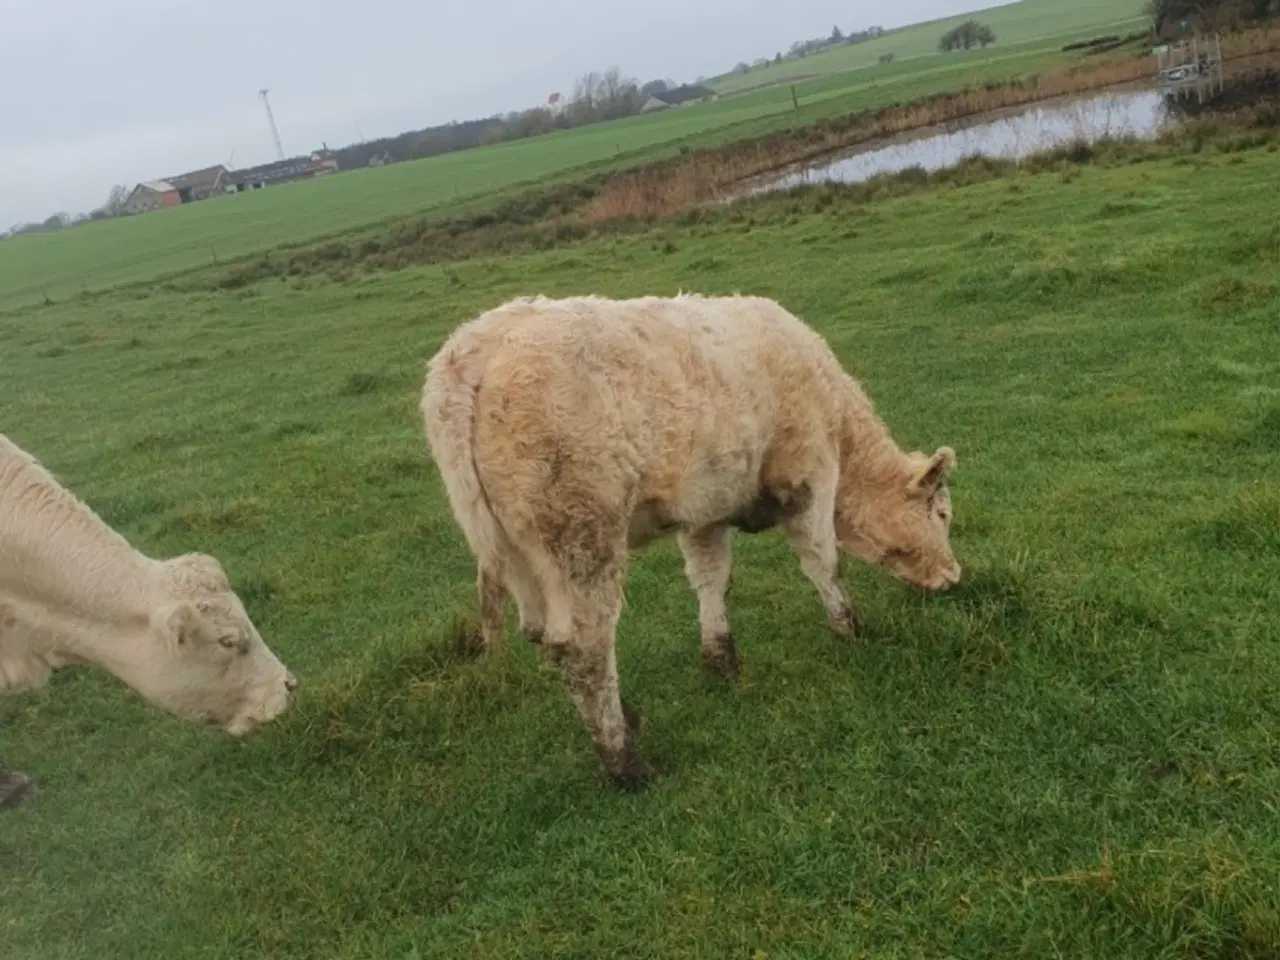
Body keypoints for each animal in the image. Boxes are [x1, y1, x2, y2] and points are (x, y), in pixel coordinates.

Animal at [422, 293, 962, 788]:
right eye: (941, 512)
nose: (954, 576)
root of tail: (475, 345)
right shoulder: (808, 475)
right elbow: (822, 561)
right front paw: (850, 630)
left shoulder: (705, 509)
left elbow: (711, 579)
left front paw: (721, 658)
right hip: (583, 537)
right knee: (583, 647)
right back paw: (625, 762)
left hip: (516, 554)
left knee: (541, 634)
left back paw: (626, 717)